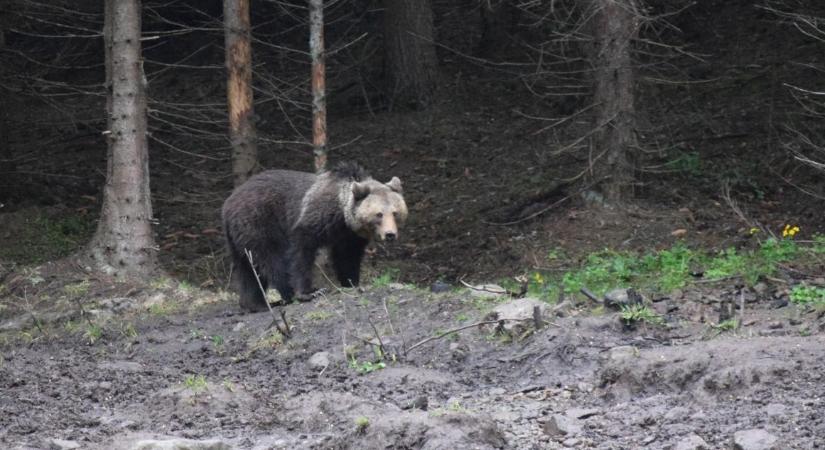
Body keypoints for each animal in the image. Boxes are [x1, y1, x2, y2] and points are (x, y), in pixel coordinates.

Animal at [222, 163, 408, 312]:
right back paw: (284, 294)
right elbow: (301, 249)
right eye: (379, 214)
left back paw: (255, 304)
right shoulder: (316, 217)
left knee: (247, 268)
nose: (390, 234)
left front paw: (351, 282)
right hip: (259, 222)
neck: (341, 213)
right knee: (271, 259)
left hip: (238, 237)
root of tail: (228, 203)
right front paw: (309, 292)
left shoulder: (349, 236)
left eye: (395, 213)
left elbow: (347, 258)